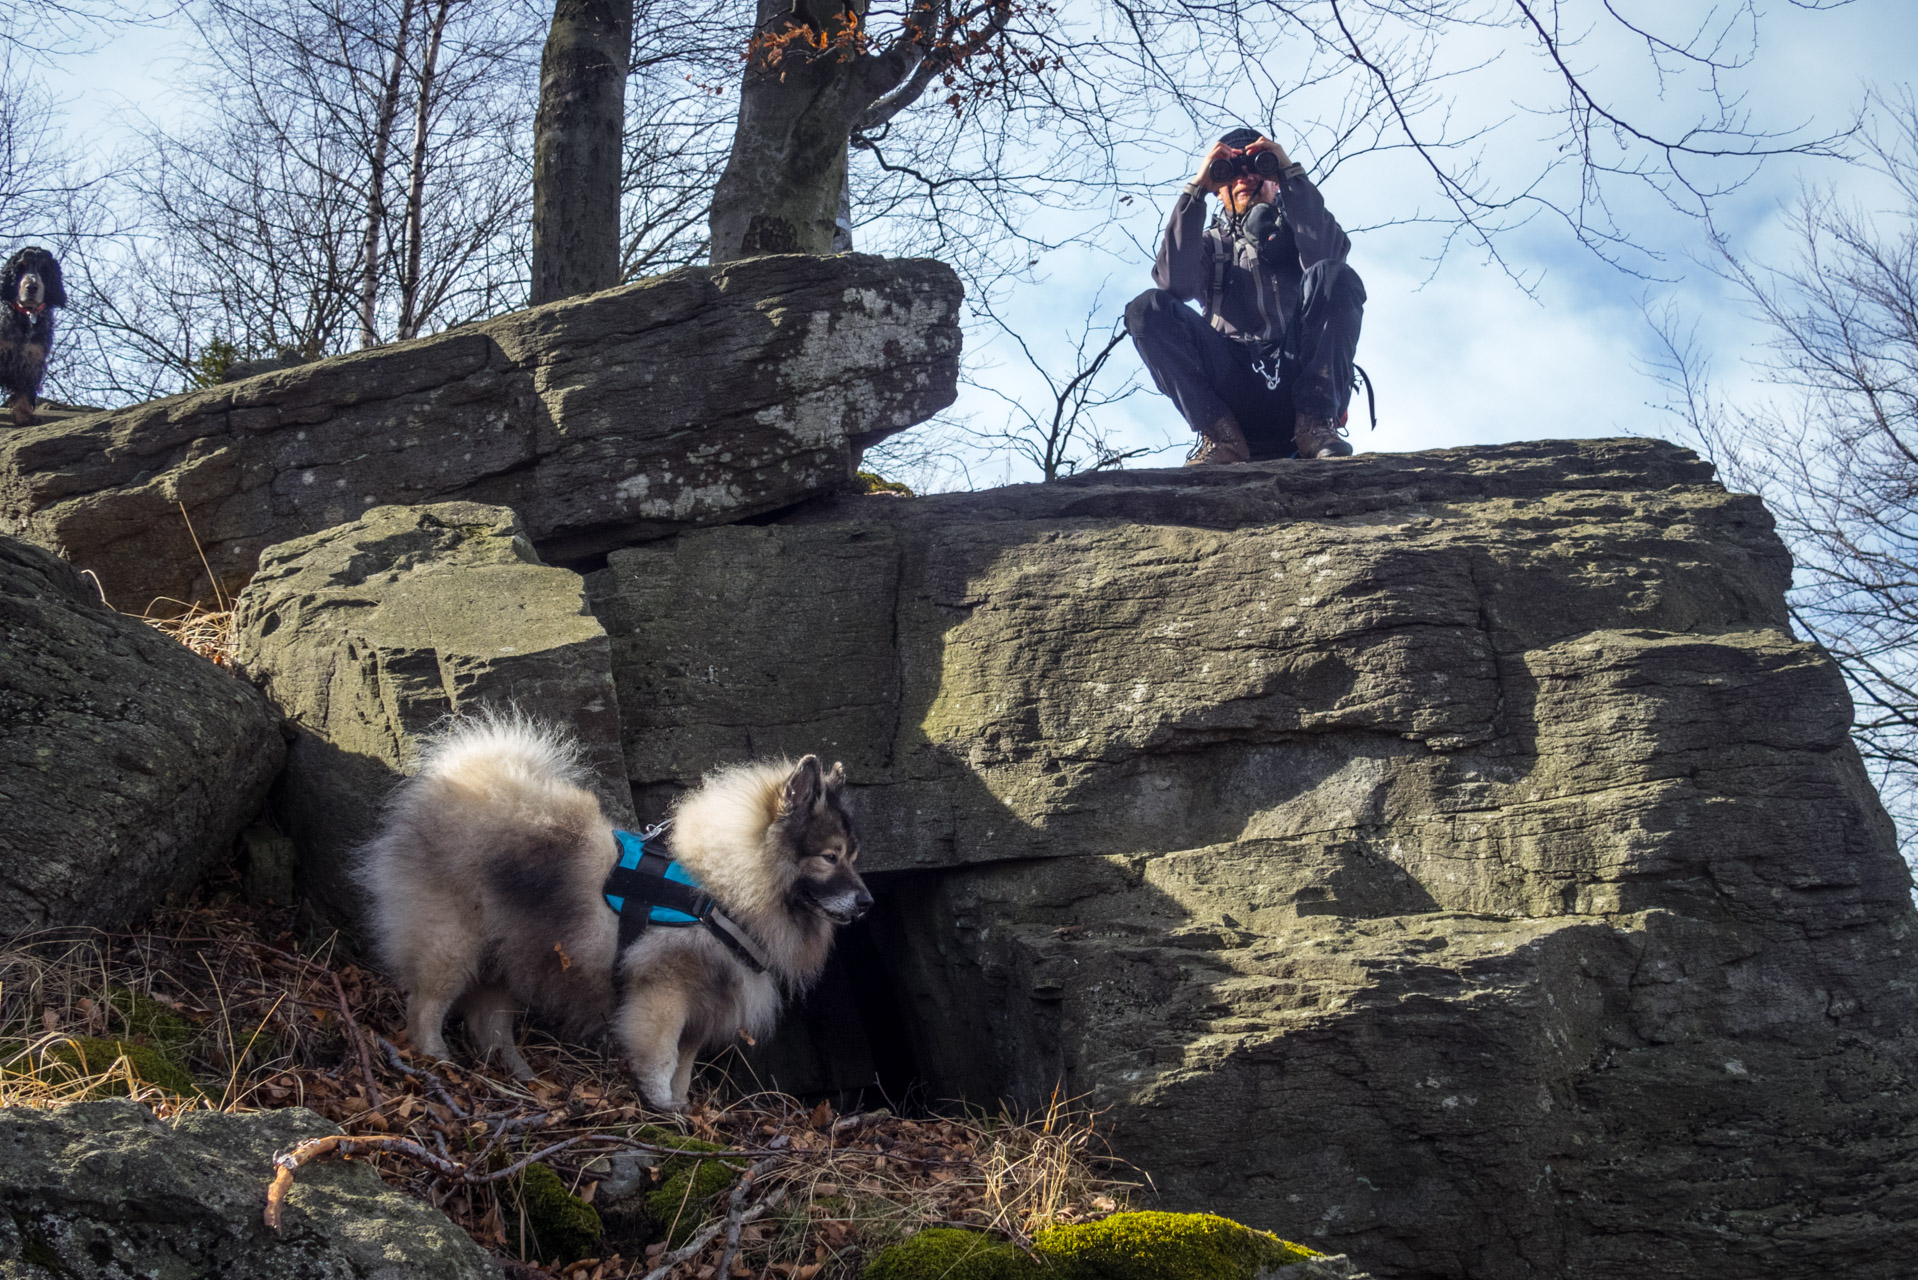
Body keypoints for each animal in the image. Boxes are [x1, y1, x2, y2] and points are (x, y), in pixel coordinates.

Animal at [1, 247, 65, 427]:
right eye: (21, 267)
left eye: (44, 268)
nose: (32, 287)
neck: (27, 315)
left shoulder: (32, 359)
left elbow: (24, 390)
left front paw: (25, 417)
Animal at [356, 710, 874, 1113]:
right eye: (829, 857)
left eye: (852, 856)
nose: (868, 901)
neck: (720, 888)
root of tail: (462, 777)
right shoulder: (663, 994)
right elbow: (662, 1059)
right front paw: (661, 1107)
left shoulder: (702, 1007)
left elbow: (684, 1068)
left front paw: (680, 1108)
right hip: (452, 944)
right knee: (426, 1006)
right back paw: (437, 1060)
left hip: (508, 957)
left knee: (490, 1025)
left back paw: (521, 1079)